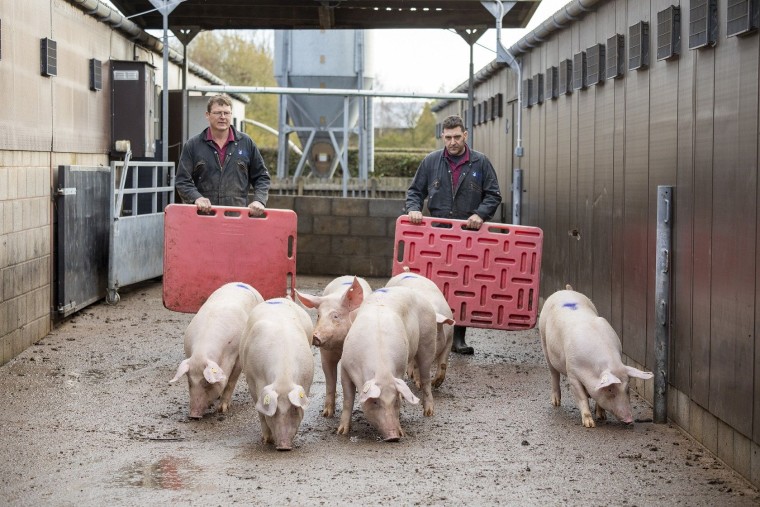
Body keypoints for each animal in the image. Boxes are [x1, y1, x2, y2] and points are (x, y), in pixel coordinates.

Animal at [169, 282, 264, 420]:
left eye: (206, 383)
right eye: (189, 382)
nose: (194, 415)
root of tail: (242, 283)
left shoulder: (237, 358)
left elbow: (230, 382)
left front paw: (222, 410)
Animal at [242, 298, 316, 452]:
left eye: (294, 408)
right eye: (274, 411)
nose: (284, 447)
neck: (283, 378)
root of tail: (279, 299)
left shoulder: (307, 382)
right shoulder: (253, 380)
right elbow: (261, 412)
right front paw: (267, 440)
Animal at [294, 278, 372, 416]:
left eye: (335, 316)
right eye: (318, 315)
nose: (315, 336)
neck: (339, 346)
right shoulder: (325, 355)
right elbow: (330, 380)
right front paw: (327, 414)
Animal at [336, 286, 442, 440]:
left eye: (395, 401)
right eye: (375, 401)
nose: (393, 437)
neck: (382, 370)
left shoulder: (400, 369)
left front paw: (402, 432)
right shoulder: (345, 368)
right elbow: (348, 399)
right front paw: (341, 432)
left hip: (428, 340)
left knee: (426, 378)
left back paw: (428, 413)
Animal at [540, 286, 652, 428]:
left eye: (627, 389)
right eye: (610, 390)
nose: (629, 420)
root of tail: (565, 290)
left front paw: (602, 416)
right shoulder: (572, 373)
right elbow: (582, 397)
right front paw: (590, 424)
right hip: (544, 342)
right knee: (554, 374)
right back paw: (556, 403)